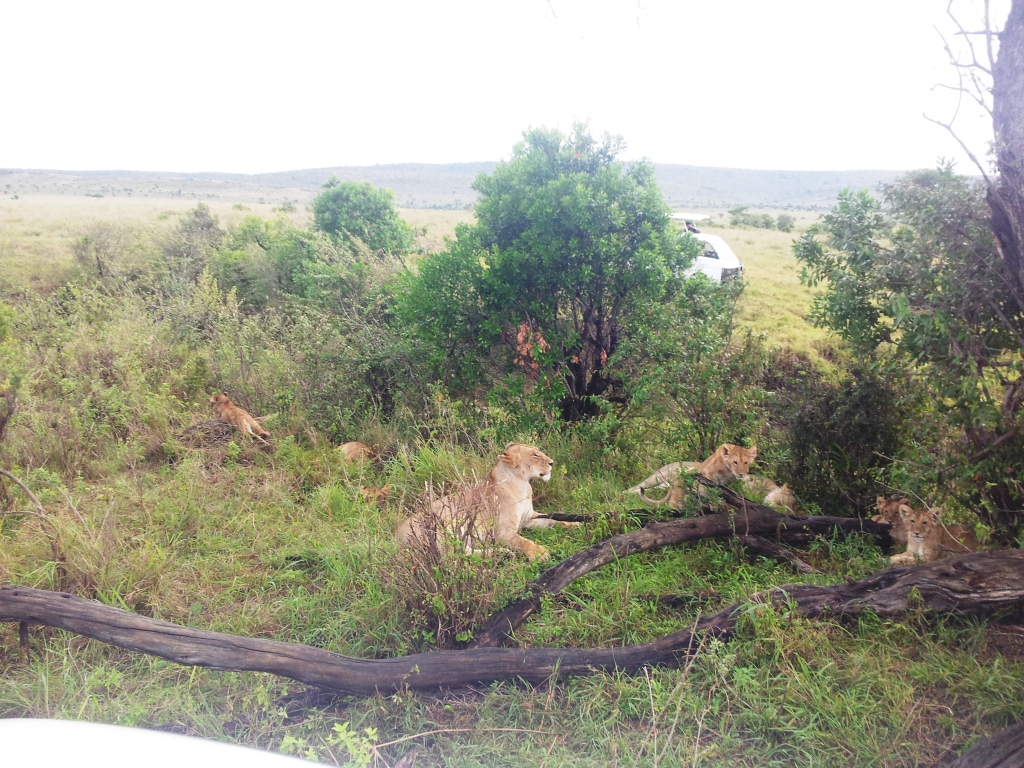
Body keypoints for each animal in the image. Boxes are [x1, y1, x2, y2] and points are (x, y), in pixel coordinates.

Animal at [395, 443, 579, 562]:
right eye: (535, 455)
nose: (552, 463)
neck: (522, 485)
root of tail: (395, 536)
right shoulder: (503, 532)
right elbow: (524, 541)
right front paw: (539, 553)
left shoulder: (528, 517)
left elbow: (553, 520)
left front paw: (575, 524)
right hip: (443, 526)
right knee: (452, 556)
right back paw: (501, 554)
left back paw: (503, 554)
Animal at [625, 444, 758, 508]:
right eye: (735, 462)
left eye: (746, 463)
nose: (741, 474)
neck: (728, 472)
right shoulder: (707, 473)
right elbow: (711, 489)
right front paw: (714, 504)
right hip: (658, 478)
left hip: (663, 484)